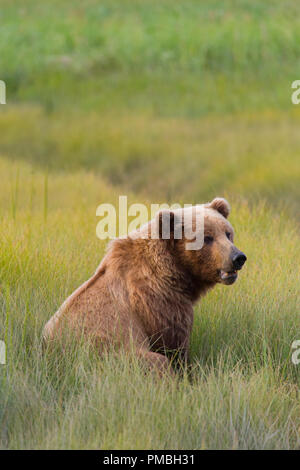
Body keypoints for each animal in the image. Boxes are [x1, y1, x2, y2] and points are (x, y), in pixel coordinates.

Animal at [44, 198, 246, 374]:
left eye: (228, 233)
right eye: (207, 238)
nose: (238, 257)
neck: (175, 271)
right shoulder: (158, 301)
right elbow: (173, 345)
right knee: (156, 361)